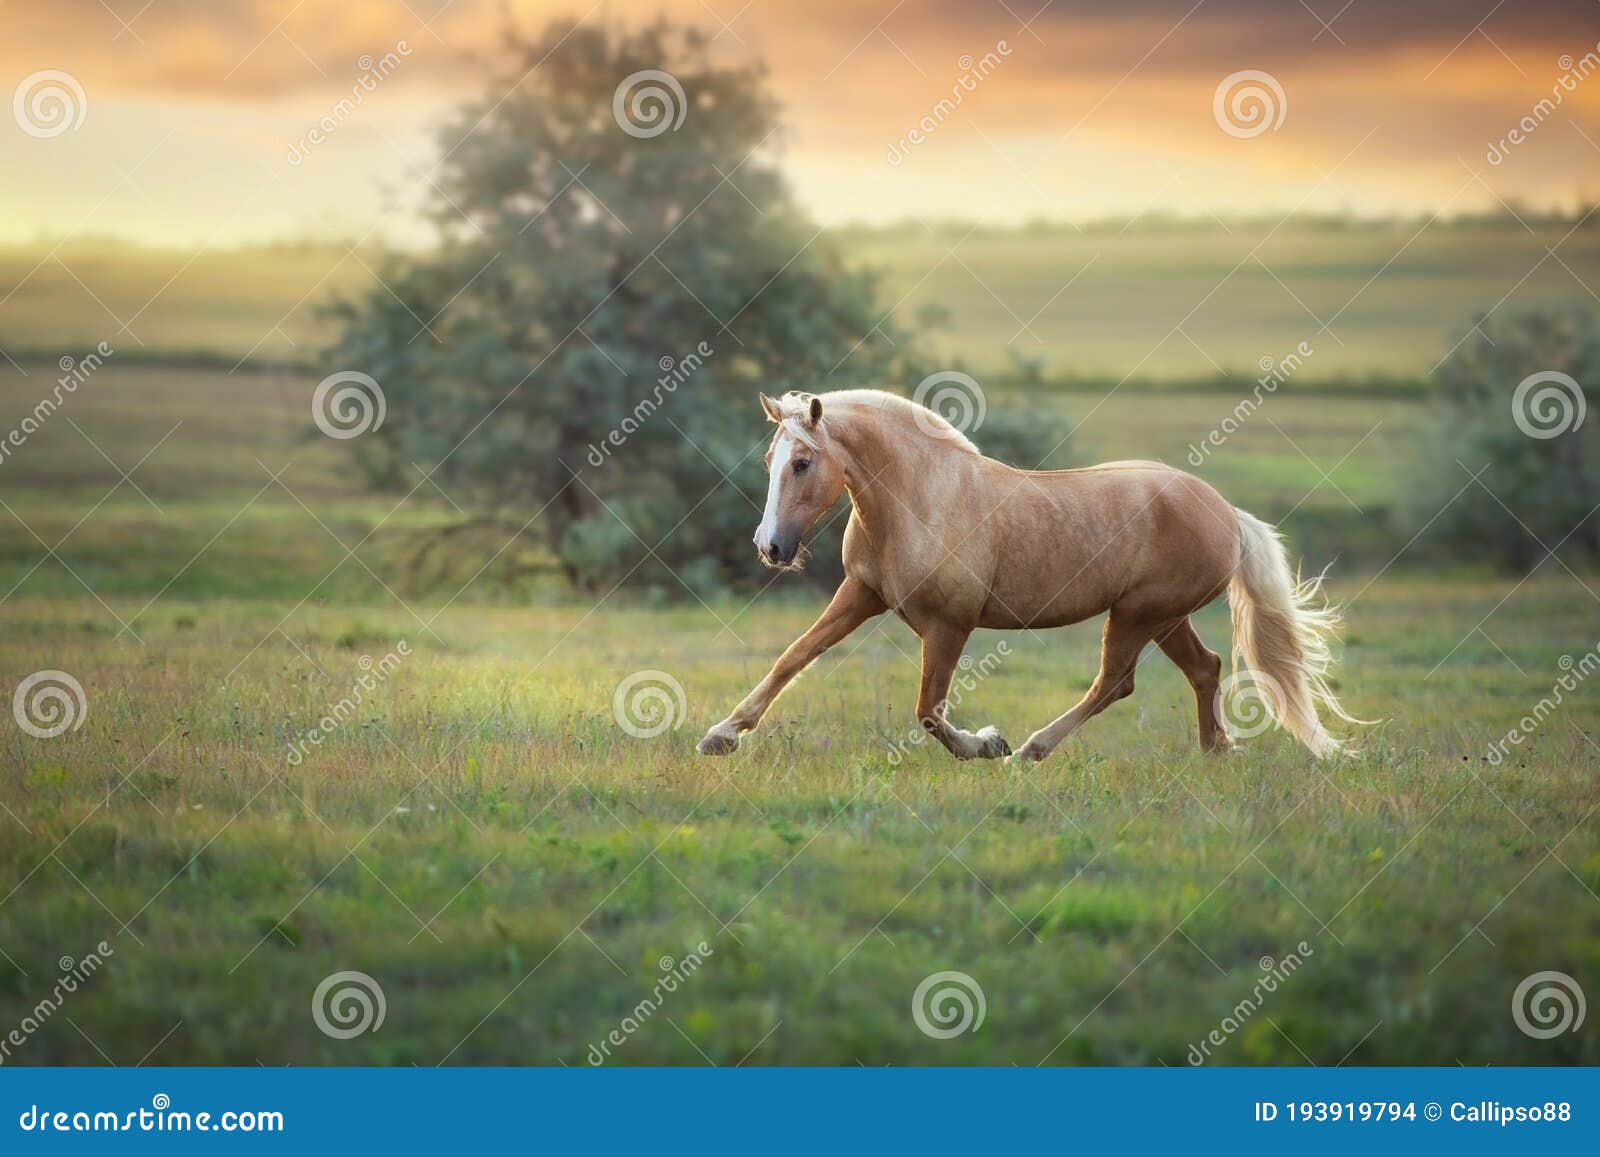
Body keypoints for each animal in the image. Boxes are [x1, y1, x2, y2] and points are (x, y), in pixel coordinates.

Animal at [694, 393, 1356, 764]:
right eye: (771, 460)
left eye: (804, 462)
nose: (770, 548)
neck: (920, 498)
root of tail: (1227, 514)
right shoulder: (861, 594)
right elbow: (793, 657)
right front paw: (721, 735)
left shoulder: (950, 625)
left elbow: (928, 711)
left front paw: (987, 745)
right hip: (1166, 617)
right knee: (1205, 668)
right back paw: (1216, 752)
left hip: (1139, 614)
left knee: (1115, 684)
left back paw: (1033, 750)